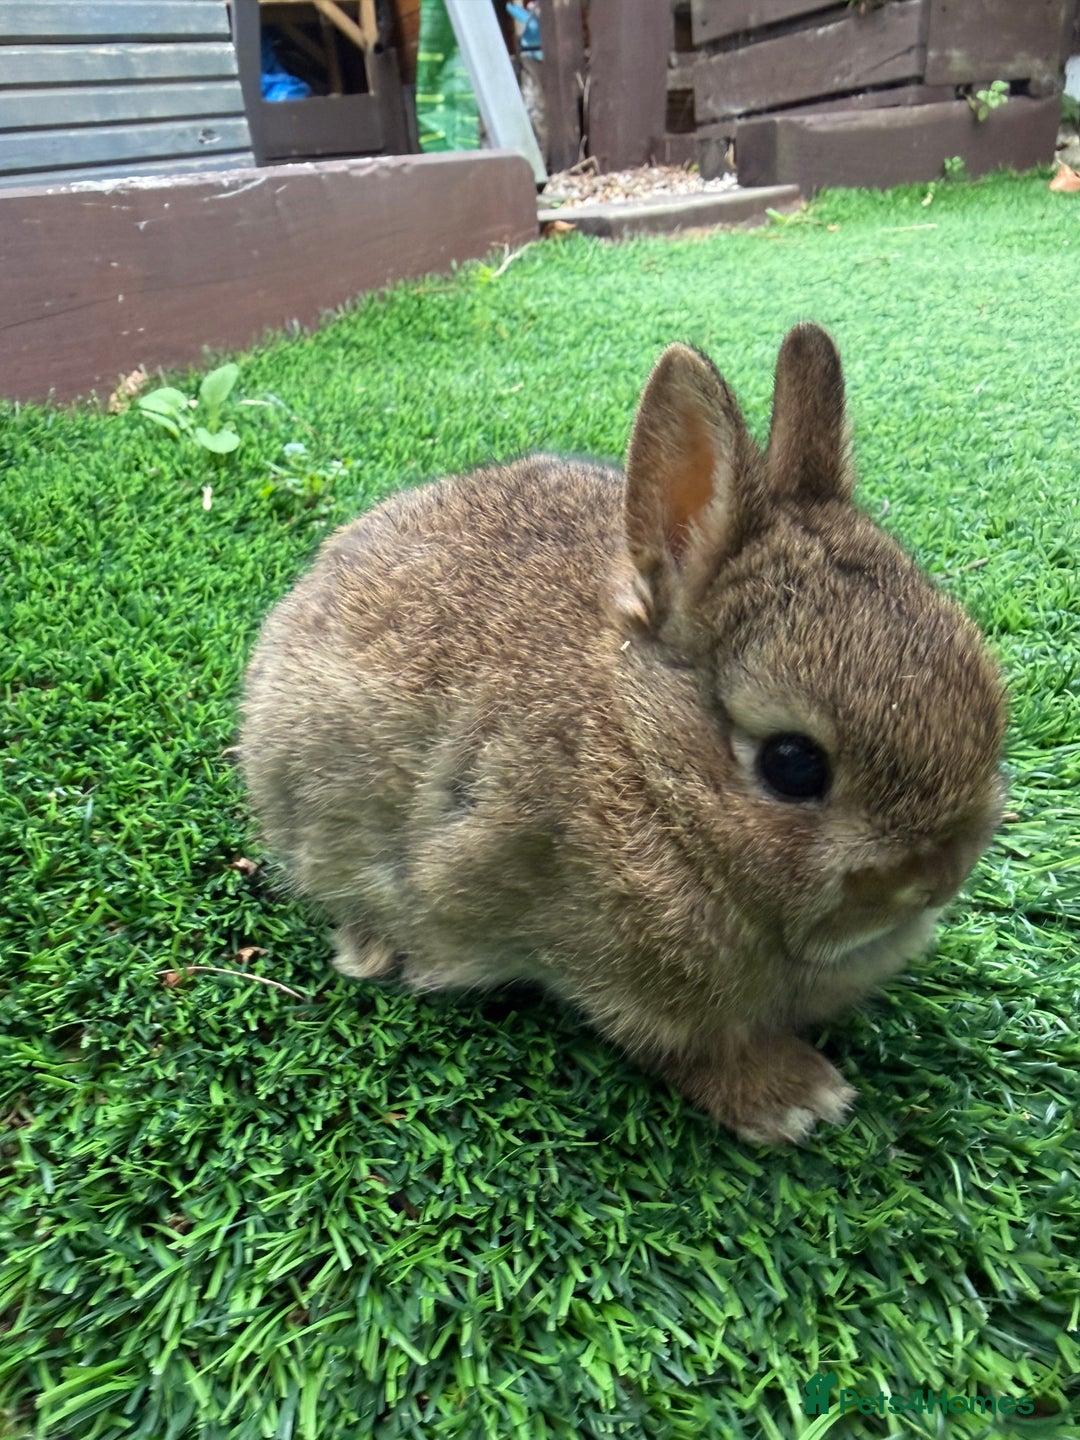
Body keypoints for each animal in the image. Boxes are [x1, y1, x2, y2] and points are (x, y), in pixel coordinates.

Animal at [240, 323, 1007, 1145]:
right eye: (793, 764)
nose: (937, 878)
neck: (650, 761)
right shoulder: (610, 970)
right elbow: (684, 1047)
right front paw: (796, 1100)